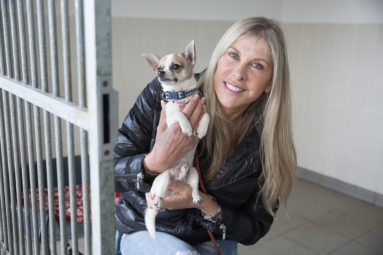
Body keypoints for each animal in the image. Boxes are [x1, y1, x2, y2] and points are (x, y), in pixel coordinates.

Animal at [143, 40, 210, 239]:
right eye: (159, 68)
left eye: (175, 66)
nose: (160, 73)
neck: (181, 96)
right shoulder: (171, 116)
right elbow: (180, 115)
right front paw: (187, 127)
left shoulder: (203, 109)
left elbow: (207, 117)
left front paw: (200, 130)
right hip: (164, 179)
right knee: (157, 196)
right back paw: (157, 201)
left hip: (194, 174)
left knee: (194, 189)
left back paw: (196, 197)